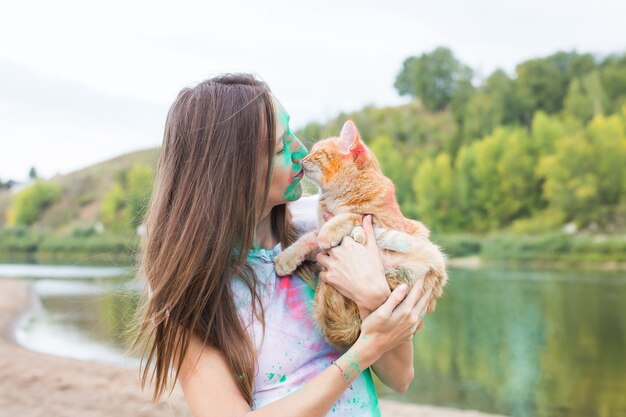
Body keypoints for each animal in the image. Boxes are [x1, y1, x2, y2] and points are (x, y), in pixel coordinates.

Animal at [276, 121, 446, 348]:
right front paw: (286, 258)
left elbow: (352, 216)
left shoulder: (379, 220)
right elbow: (307, 239)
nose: (302, 159)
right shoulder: (317, 234)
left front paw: (333, 231)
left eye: (317, 152)